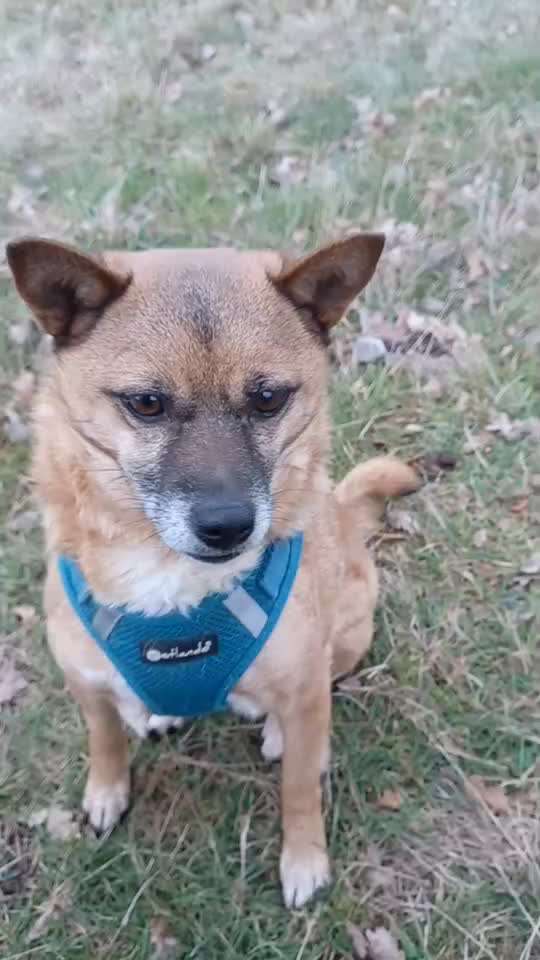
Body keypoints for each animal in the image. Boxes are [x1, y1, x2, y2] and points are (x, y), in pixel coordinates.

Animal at [6, 232, 418, 908]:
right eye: (147, 403)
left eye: (269, 397)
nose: (227, 525)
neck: (173, 591)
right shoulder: (85, 683)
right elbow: (104, 739)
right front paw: (106, 792)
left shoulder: (304, 683)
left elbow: (299, 792)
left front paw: (304, 860)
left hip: (350, 624)